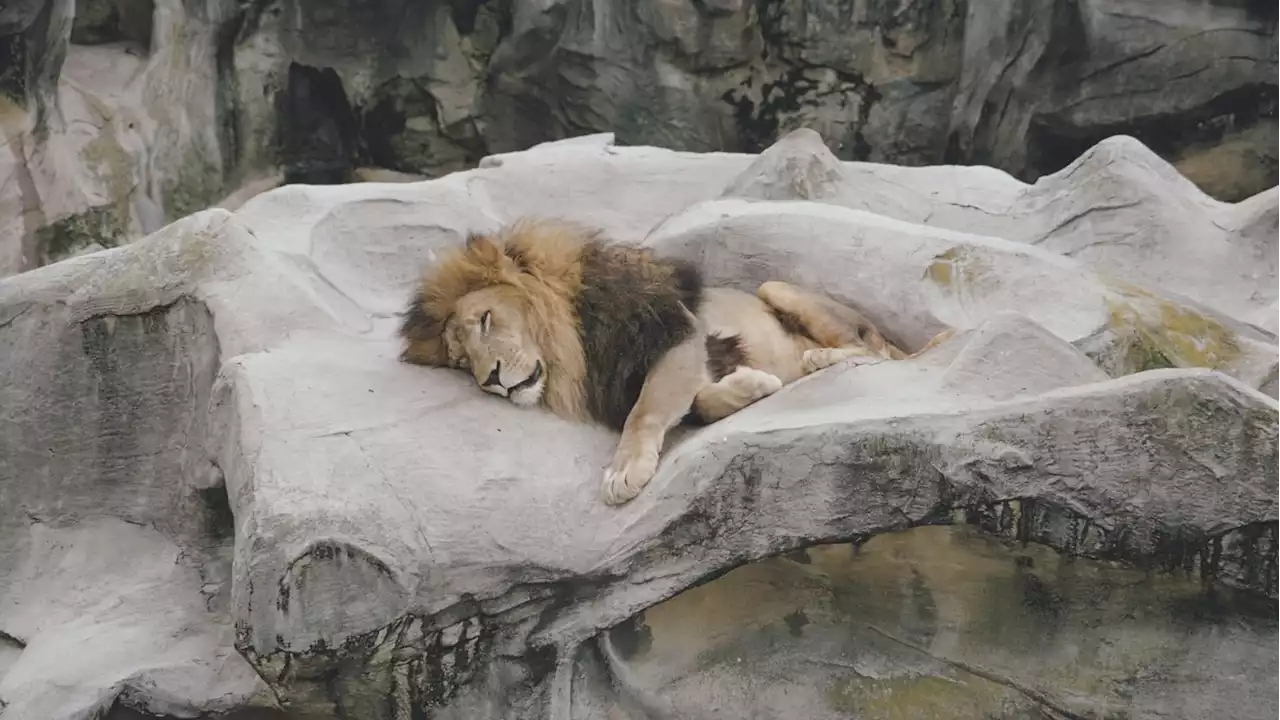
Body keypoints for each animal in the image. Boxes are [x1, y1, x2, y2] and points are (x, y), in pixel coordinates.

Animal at [399, 215, 952, 502]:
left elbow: (645, 412)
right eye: (460, 360)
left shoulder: (677, 335)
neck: (575, 347)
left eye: (486, 320)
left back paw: (819, 358)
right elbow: (699, 402)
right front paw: (750, 386)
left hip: (778, 288)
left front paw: (623, 472)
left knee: (875, 352)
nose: (491, 379)